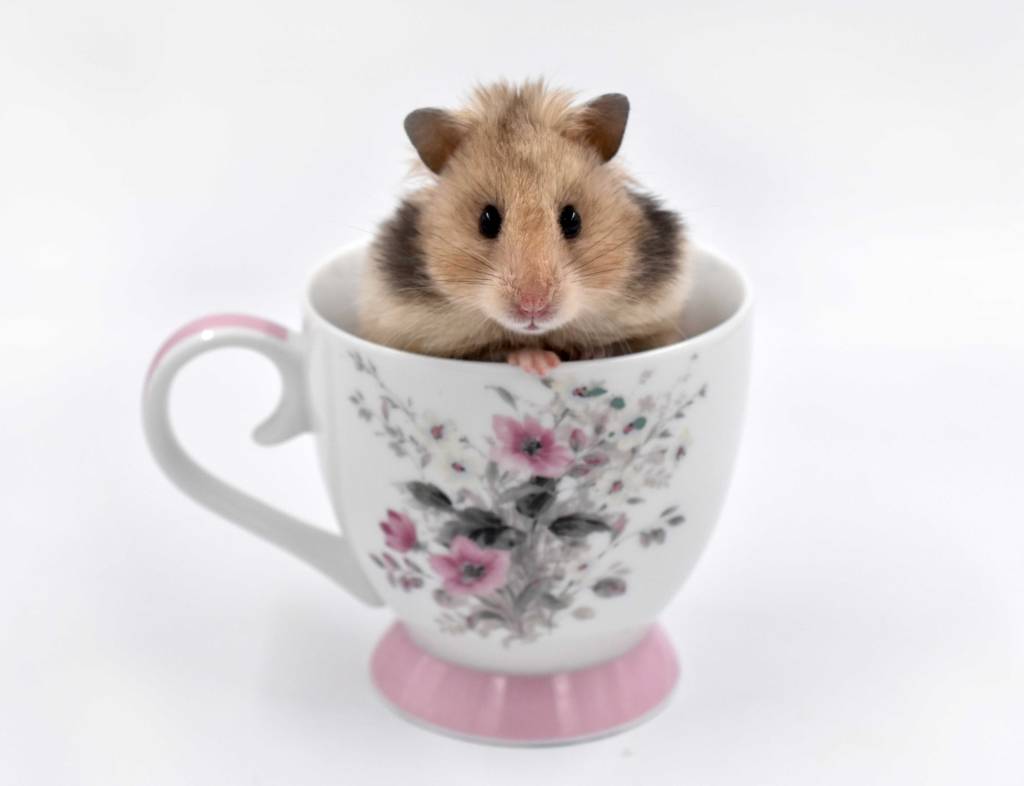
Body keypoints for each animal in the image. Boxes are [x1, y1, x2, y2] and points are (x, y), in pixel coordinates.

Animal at [359, 80, 690, 375]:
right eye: (487, 220)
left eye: (572, 219)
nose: (534, 307)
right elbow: (499, 350)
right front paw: (538, 362)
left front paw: (582, 355)